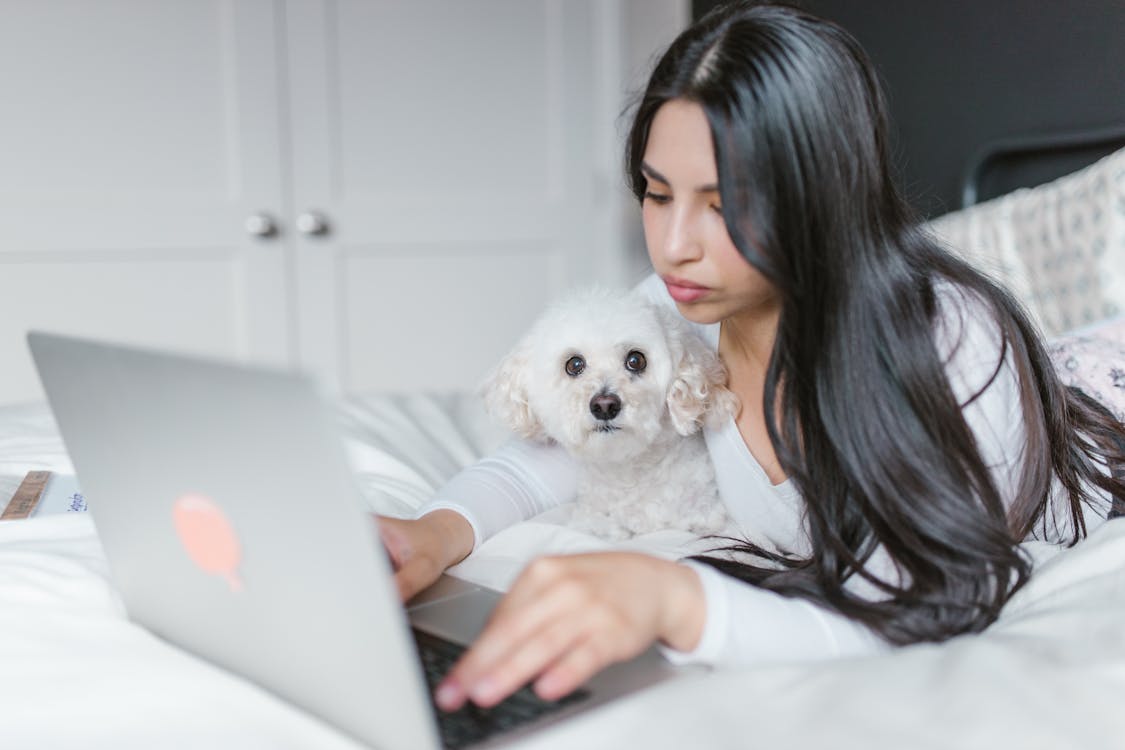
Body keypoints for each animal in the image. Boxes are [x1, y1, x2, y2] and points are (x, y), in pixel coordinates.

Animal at [483, 287, 738, 539]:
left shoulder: (709, 518)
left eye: (636, 360)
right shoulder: (591, 520)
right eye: (574, 364)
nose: (604, 405)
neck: (629, 472)